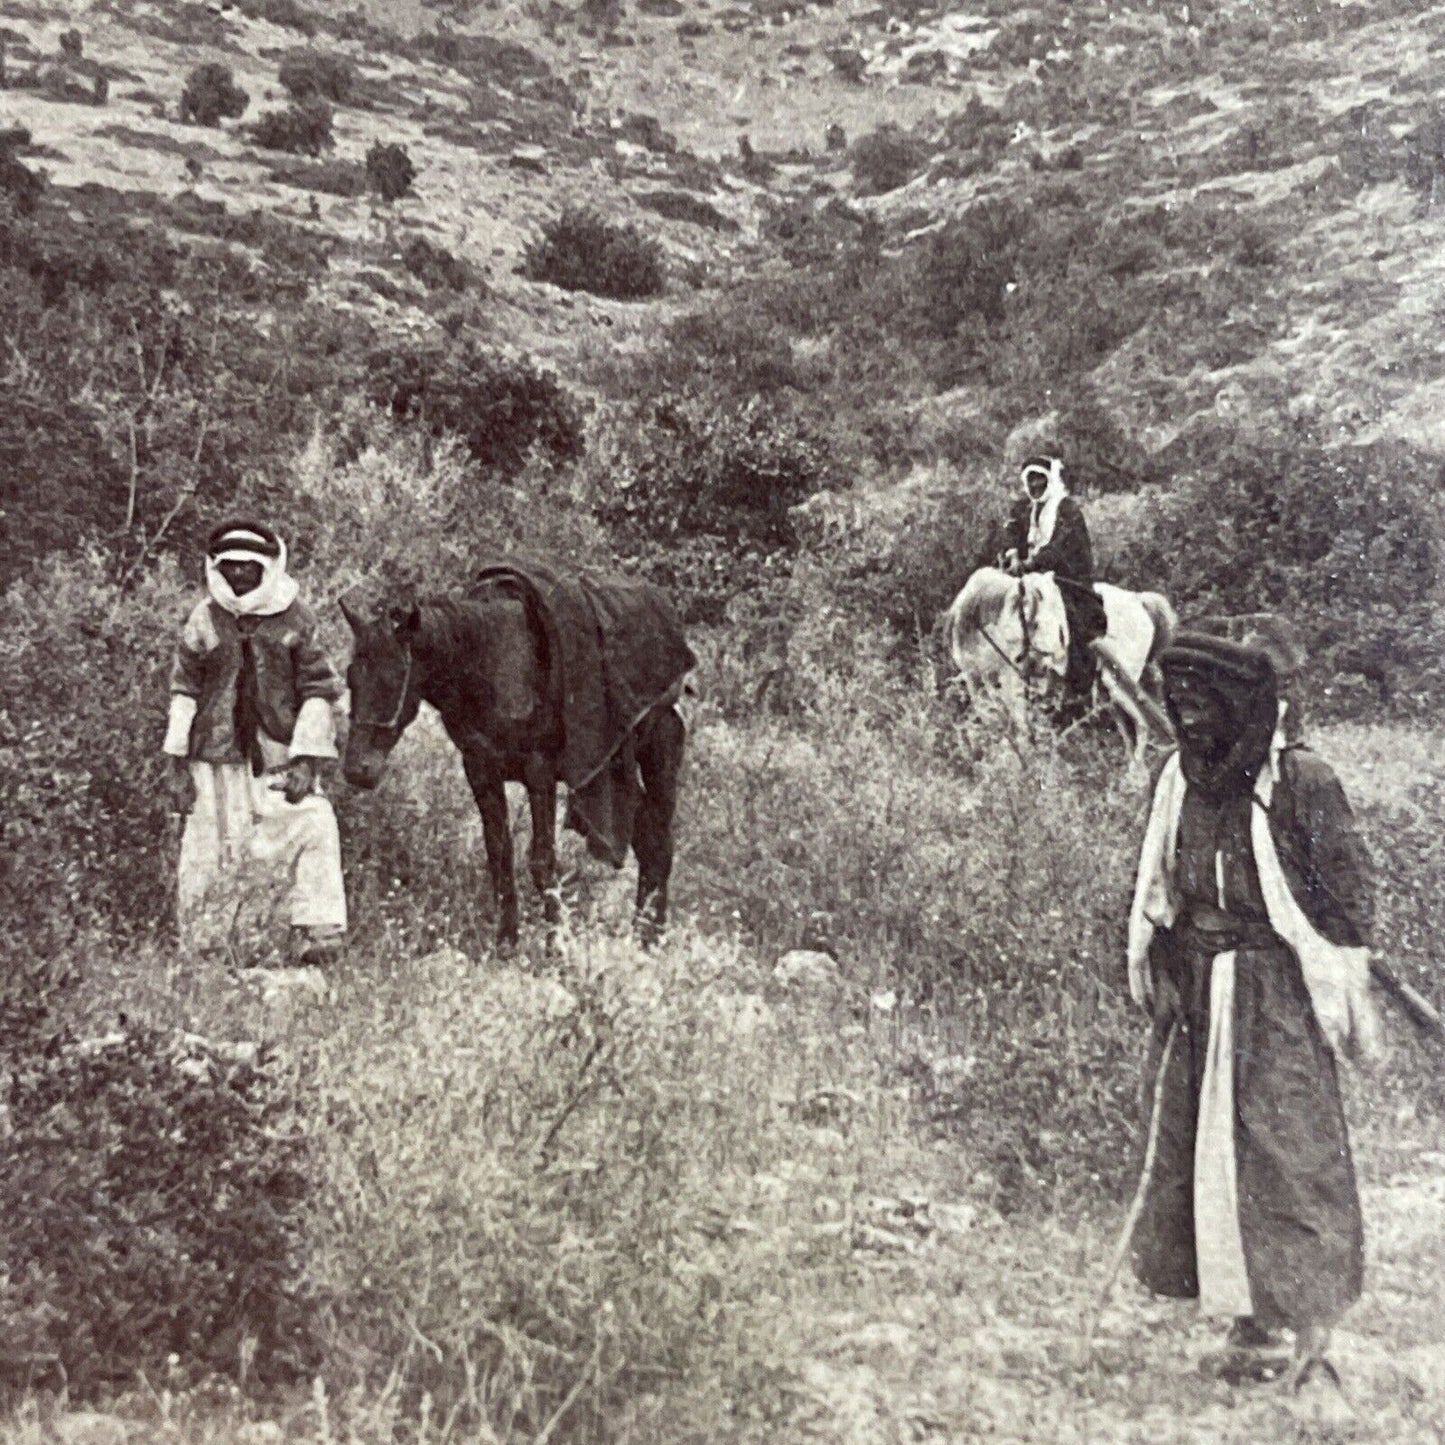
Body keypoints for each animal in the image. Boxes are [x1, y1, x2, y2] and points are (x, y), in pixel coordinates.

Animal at [343, 575, 693, 947]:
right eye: (351, 676)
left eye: (393, 676)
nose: (356, 769)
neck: (493, 663)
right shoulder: (481, 771)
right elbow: (499, 855)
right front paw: (506, 944)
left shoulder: (539, 774)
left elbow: (542, 861)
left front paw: (556, 948)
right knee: (647, 838)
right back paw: (643, 932)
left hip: (659, 755)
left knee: (660, 844)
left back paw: (651, 938)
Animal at [947, 563, 1173, 768]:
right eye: (1034, 622)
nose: (1048, 665)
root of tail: (1139, 601)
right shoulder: (975, 677)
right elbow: (991, 718)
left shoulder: (1011, 680)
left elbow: (1017, 723)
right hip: (1106, 691)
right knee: (1126, 728)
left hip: (1118, 684)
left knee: (1141, 724)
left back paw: (1136, 772)